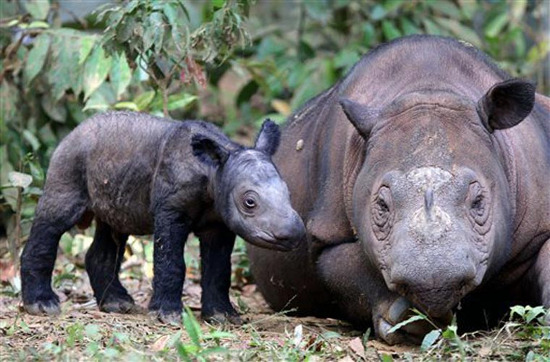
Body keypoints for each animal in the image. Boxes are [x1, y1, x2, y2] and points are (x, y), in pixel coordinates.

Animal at [21, 110, 306, 322]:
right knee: (55, 219)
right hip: (70, 159)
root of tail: (73, 131)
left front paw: (223, 317)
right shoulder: (171, 209)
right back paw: (42, 305)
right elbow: (171, 260)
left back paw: (117, 304)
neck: (215, 172)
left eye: (289, 193)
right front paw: (167, 315)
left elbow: (219, 268)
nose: (293, 234)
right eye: (250, 202)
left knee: (113, 229)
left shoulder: (219, 221)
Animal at [250, 35, 550, 344]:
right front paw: (409, 320)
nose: (435, 284)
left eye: (478, 202)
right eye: (382, 207)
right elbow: (344, 267)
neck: (429, 87)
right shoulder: (326, 232)